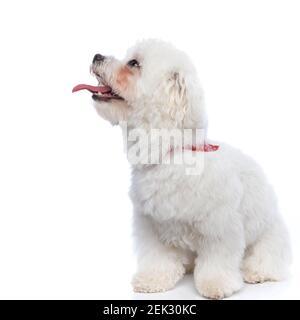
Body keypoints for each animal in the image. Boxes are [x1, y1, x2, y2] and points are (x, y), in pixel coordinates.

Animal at [72, 38, 290, 298]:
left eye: (133, 63)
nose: (97, 56)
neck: (171, 152)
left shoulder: (219, 227)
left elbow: (217, 261)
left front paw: (216, 284)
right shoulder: (152, 224)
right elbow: (157, 258)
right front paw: (153, 279)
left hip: (268, 237)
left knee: (266, 258)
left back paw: (256, 272)